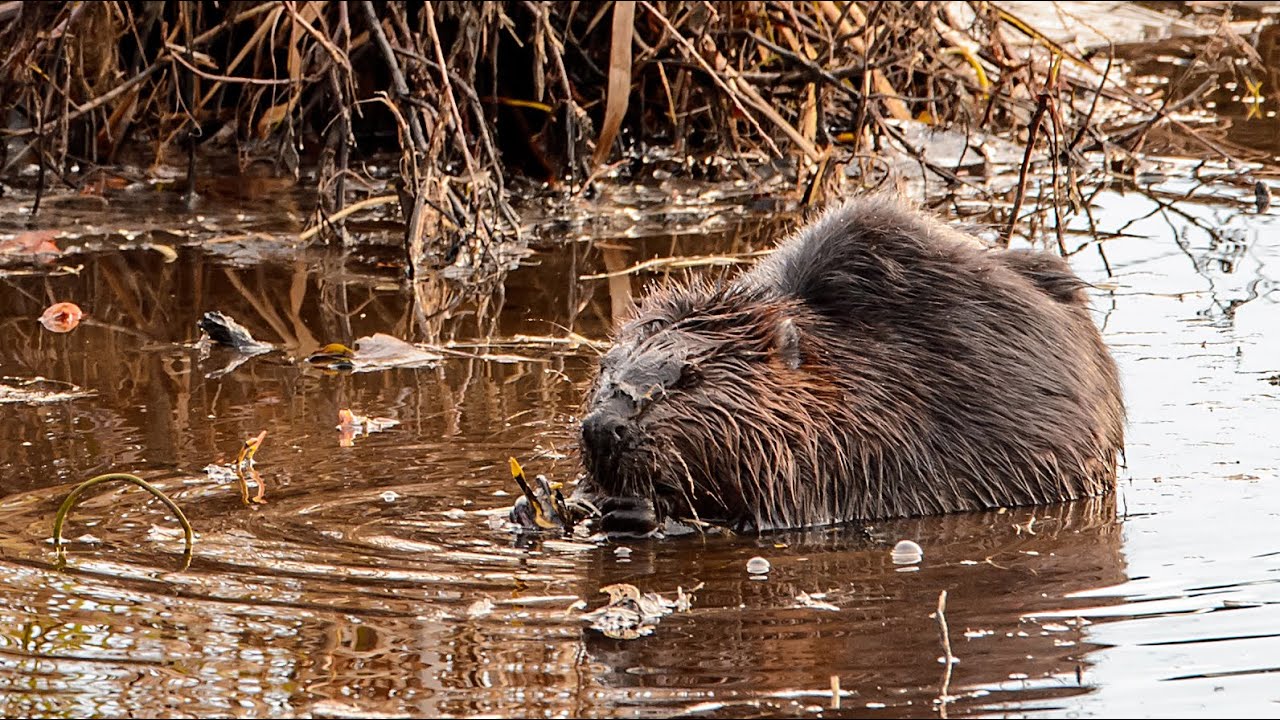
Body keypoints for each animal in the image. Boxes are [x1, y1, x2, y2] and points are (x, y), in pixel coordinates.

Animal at [576, 196, 1126, 532]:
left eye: (689, 377)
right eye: (606, 369)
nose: (604, 428)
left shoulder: (847, 456)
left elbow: (781, 511)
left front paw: (636, 510)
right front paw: (575, 499)